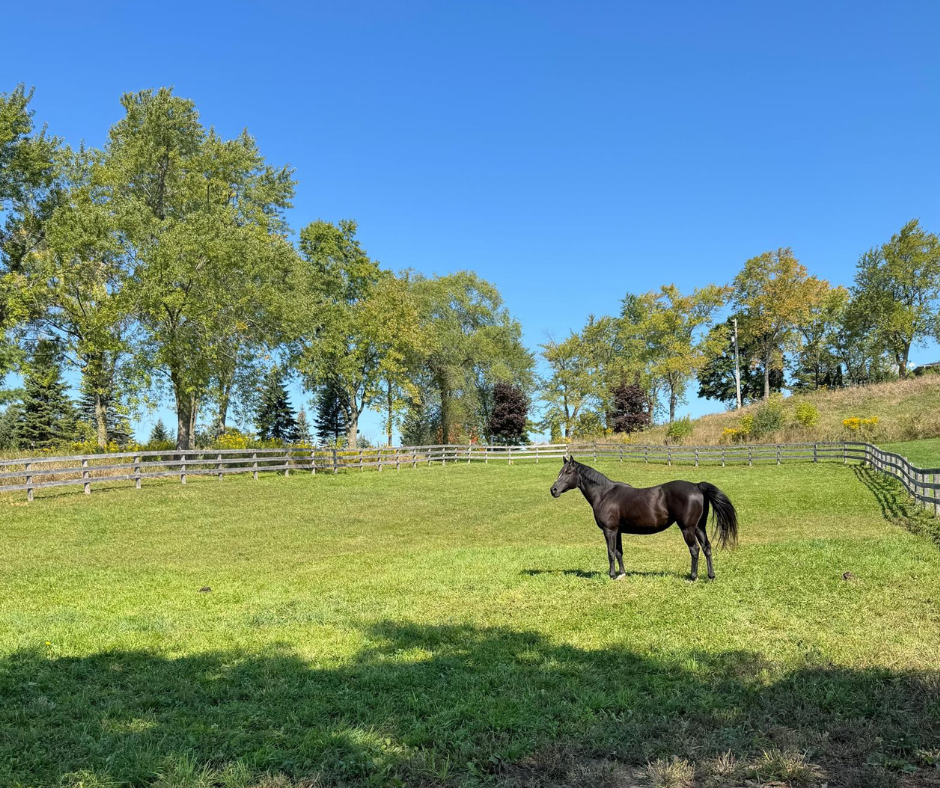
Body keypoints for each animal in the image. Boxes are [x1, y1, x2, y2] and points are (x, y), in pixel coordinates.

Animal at [550, 456, 738, 581]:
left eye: (568, 472)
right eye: (559, 472)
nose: (553, 490)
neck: (604, 494)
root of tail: (697, 486)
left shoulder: (609, 530)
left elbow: (610, 552)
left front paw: (612, 575)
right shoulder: (618, 531)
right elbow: (619, 552)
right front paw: (622, 574)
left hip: (688, 529)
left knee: (695, 549)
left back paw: (693, 577)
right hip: (699, 527)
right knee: (707, 548)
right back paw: (711, 576)